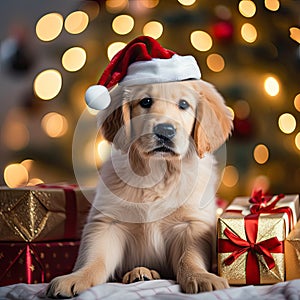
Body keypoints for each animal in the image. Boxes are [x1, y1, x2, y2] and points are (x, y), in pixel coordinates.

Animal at [47, 79, 232, 298]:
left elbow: (189, 257)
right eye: (145, 102)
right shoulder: (107, 222)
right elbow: (95, 257)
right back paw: (140, 273)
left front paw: (200, 276)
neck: (157, 171)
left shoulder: (191, 223)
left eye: (184, 104)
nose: (165, 131)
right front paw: (77, 277)